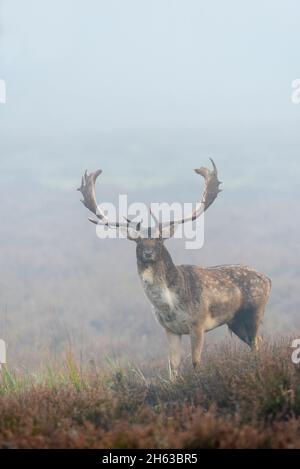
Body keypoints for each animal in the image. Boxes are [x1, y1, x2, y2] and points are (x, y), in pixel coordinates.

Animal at [78, 159, 272, 378]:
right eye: (138, 241)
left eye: (159, 240)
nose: (148, 253)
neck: (170, 305)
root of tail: (268, 280)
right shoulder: (170, 329)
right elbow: (173, 365)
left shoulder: (198, 323)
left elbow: (196, 361)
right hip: (235, 321)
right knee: (258, 342)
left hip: (255, 311)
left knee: (256, 343)